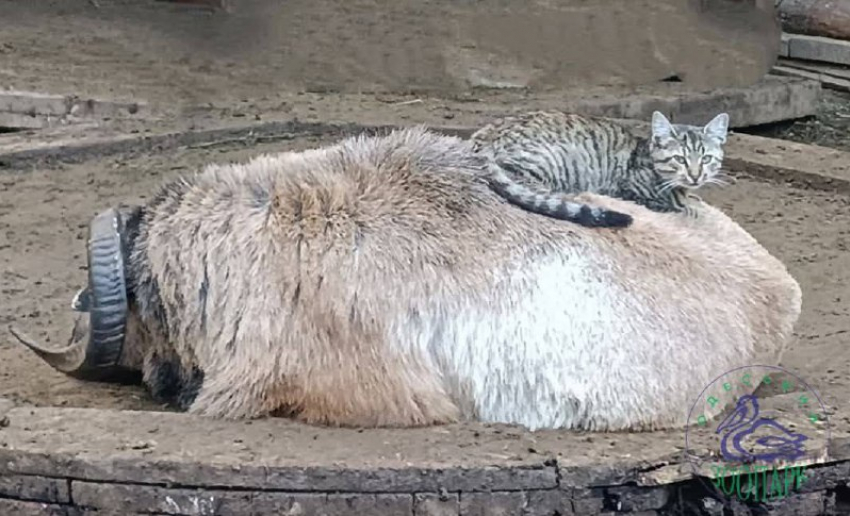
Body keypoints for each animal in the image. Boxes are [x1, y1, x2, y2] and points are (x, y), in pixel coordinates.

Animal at [470, 110, 728, 228]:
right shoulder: (631, 192)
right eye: (680, 159)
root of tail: (485, 137)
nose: (695, 176)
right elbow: (677, 207)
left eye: (706, 159)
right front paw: (688, 206)